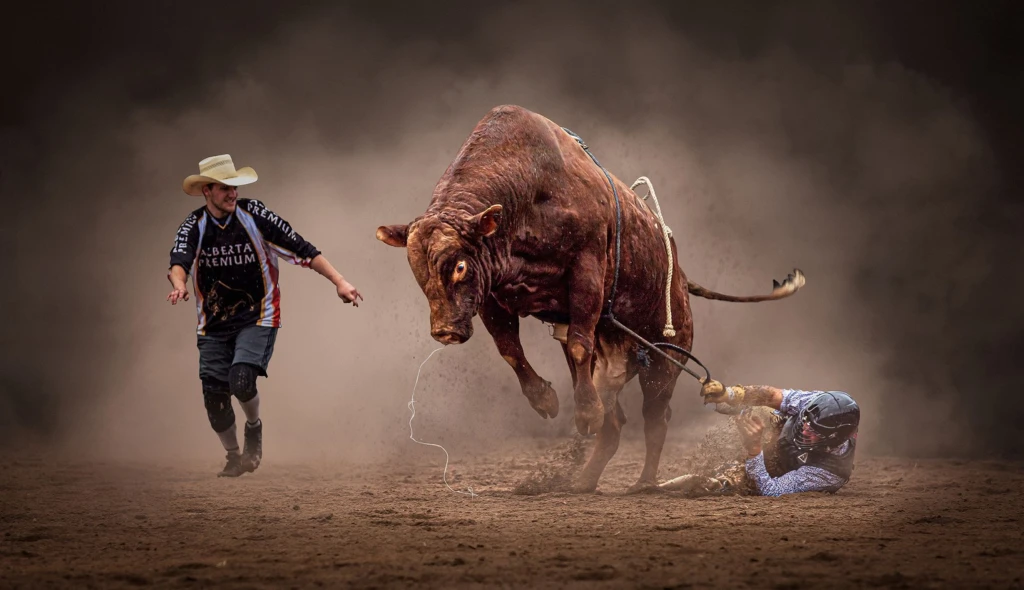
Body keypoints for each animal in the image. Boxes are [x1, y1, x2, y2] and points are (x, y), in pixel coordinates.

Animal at [380, 106, 802, 493]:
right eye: (416, 269)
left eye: (460, 266)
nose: (445, 331)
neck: (528, 193)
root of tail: (681, 279)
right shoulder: (492, 292)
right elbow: (510, 350)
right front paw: (545, 400)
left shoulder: (586, 267)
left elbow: (579, 346)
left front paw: (583, 414)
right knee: (614, 424)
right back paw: (583, 480)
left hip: (666, 358)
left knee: (655, 418)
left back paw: (643, 482)